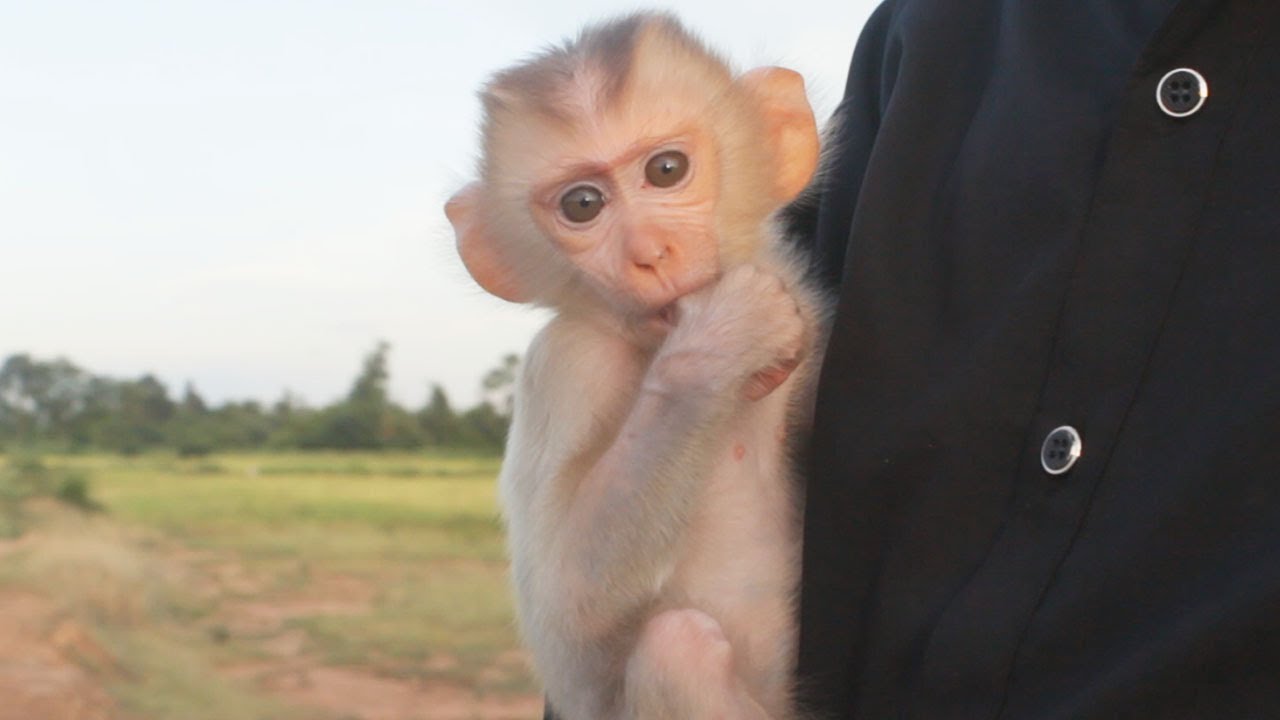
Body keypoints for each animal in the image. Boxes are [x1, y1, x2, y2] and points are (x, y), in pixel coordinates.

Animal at [445, 13, 826, 720]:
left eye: (666, 169)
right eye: (583, 205)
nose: (650, 252)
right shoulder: (567, 366)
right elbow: (567, 613)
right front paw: (719, 343)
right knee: (677, 646)